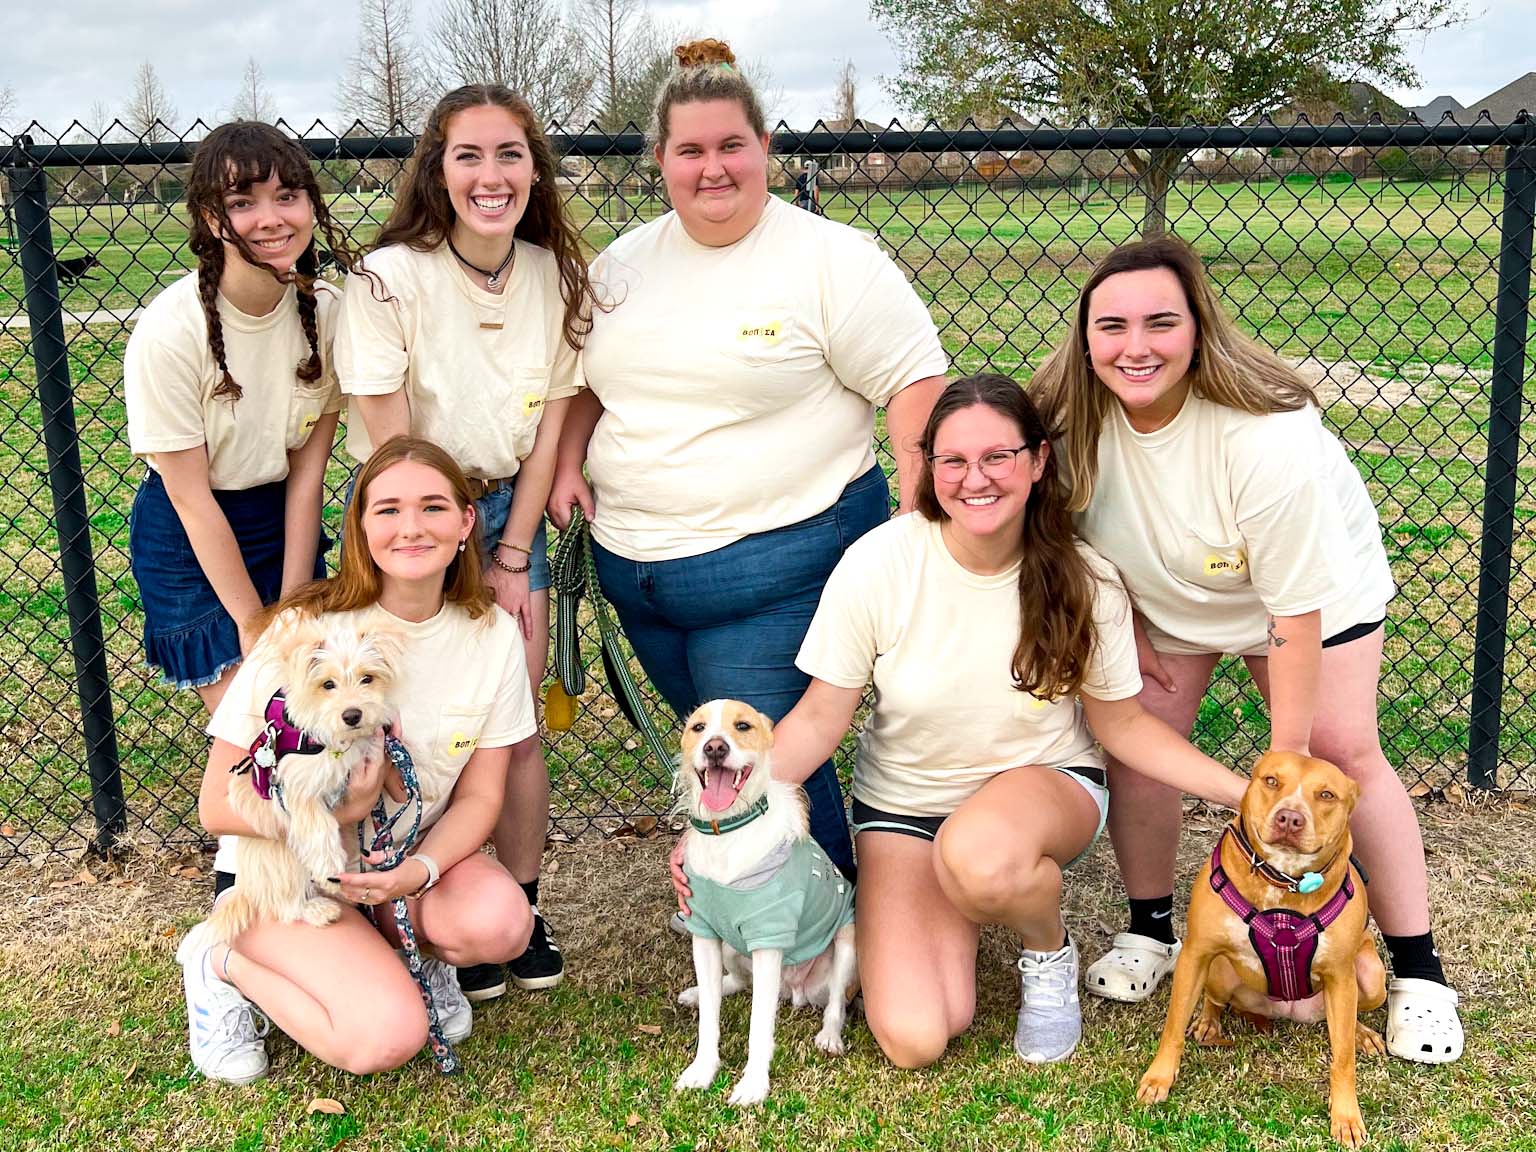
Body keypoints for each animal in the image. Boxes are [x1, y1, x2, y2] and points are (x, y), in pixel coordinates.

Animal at [207, 614, 405, 946]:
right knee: (286, 903)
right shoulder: (297, 791)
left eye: (367, 678)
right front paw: (330, 871)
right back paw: (318, 908)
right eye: (328, 684)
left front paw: (402, 781)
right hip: (281, 856)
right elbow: (320, 830)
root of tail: (248, 888)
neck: (337, 742)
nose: (352, 715)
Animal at [675, 700, 866, 1112]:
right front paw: (702, 1070)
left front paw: (753, 1085)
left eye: (743, 726)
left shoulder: (769, 940)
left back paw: (829, 1037)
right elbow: (710, 1021)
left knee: (836, 1005)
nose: (715, 747)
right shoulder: (704, 935)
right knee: (734, 983)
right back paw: (698, 993)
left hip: (848, 942)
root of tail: (793, 992)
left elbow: (759, 1026)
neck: (727, 834)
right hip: (732, 948)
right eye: (698, 728)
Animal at [1136, 752, 1388, 1148]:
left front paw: (1346, 1116)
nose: (1290, 817)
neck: (1283, 882)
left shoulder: (1341, 975)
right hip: (1220, 971)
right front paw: (1159, 1078)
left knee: (1349, 1019)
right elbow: (1173, 1025)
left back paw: (1362, 1032)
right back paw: (1207, 1023)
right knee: (1212, 998)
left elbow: (1343, 1058)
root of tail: (1285, 1010)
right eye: (1271, 781)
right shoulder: (1197, 953)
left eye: (1327, 795)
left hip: (1371, 977)